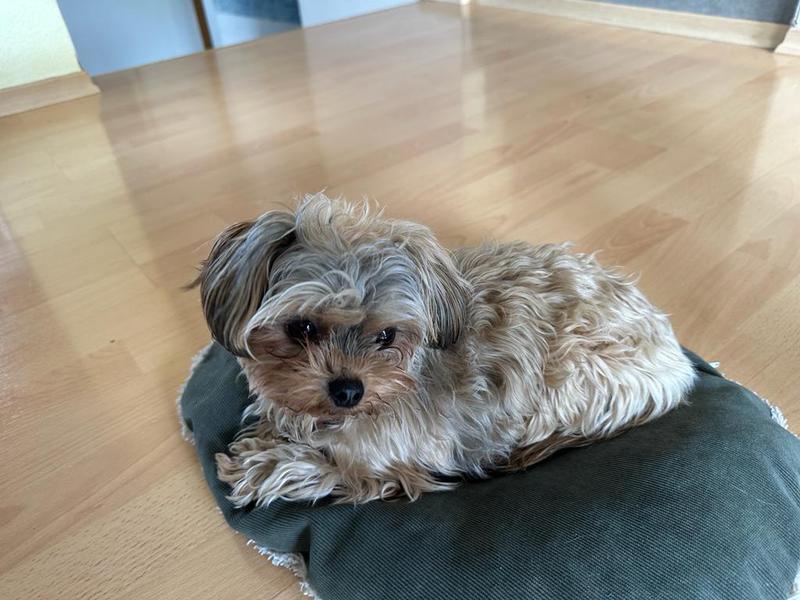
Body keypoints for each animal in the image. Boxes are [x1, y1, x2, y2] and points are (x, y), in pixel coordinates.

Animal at [194, 194, 695, 507]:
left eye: (387, 336)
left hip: (571, 371)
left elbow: (328, 468)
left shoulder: (397, 463)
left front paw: (261, 466)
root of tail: (676, 360)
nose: (349, 391)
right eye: (302, 327)